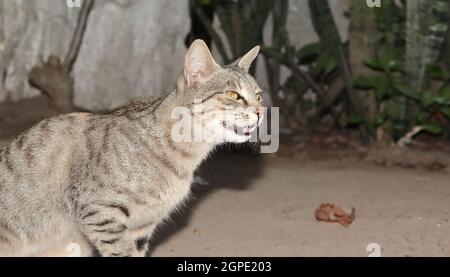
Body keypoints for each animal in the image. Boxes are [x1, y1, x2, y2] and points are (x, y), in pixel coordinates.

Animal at [0, 40, 264, 256]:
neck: (185, 155)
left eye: (259, 95)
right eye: (234, 95)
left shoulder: (142, 226)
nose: (261, 112)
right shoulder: (99, 211)